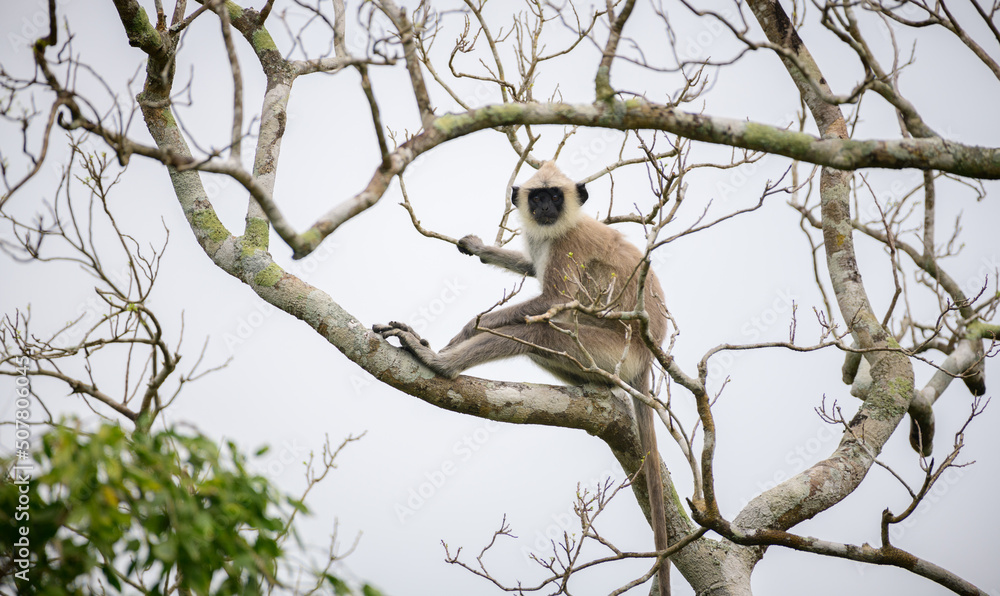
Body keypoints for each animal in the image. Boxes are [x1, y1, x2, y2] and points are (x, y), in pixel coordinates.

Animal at [374, 161, 671, 595]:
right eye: (538, 197)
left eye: (555, 196)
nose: (545, 207)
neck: (561, 225)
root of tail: (649, 352)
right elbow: (531, 265)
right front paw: (479, 247)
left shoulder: (567, 245)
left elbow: (553, 301)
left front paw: (465, 330)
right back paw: (599, 387)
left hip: (609, 346)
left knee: (538, 332)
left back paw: (440, 363)